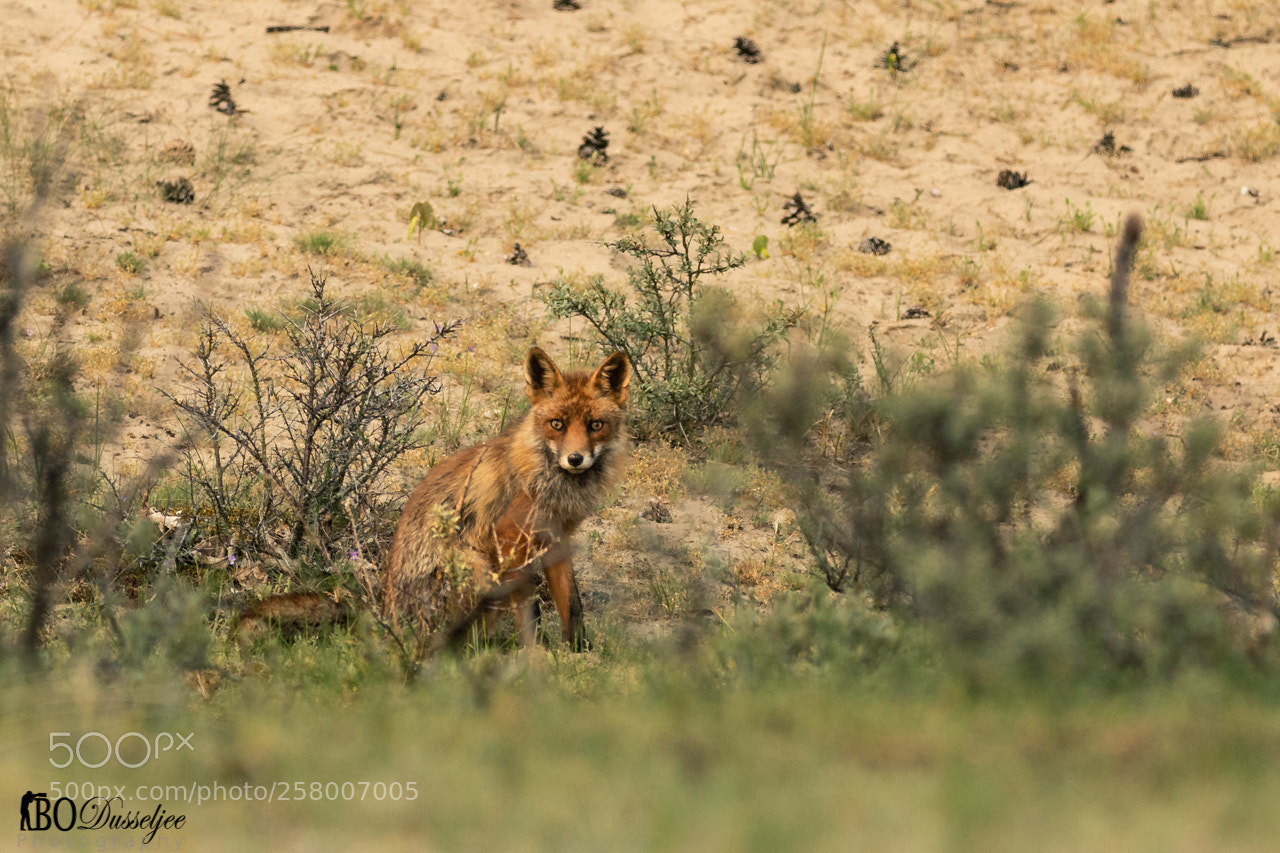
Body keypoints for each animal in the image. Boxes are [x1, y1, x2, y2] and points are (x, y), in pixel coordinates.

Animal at [383, 346, 630, 651]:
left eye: (596, 425)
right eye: (557, 424)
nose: (575, 459)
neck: (548, 486)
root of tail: (390, 625)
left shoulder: (557, 539)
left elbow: (572, 604)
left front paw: (581, 651)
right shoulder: (509, 539)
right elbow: (529, 610)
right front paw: (537, 653)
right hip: (480, 572)